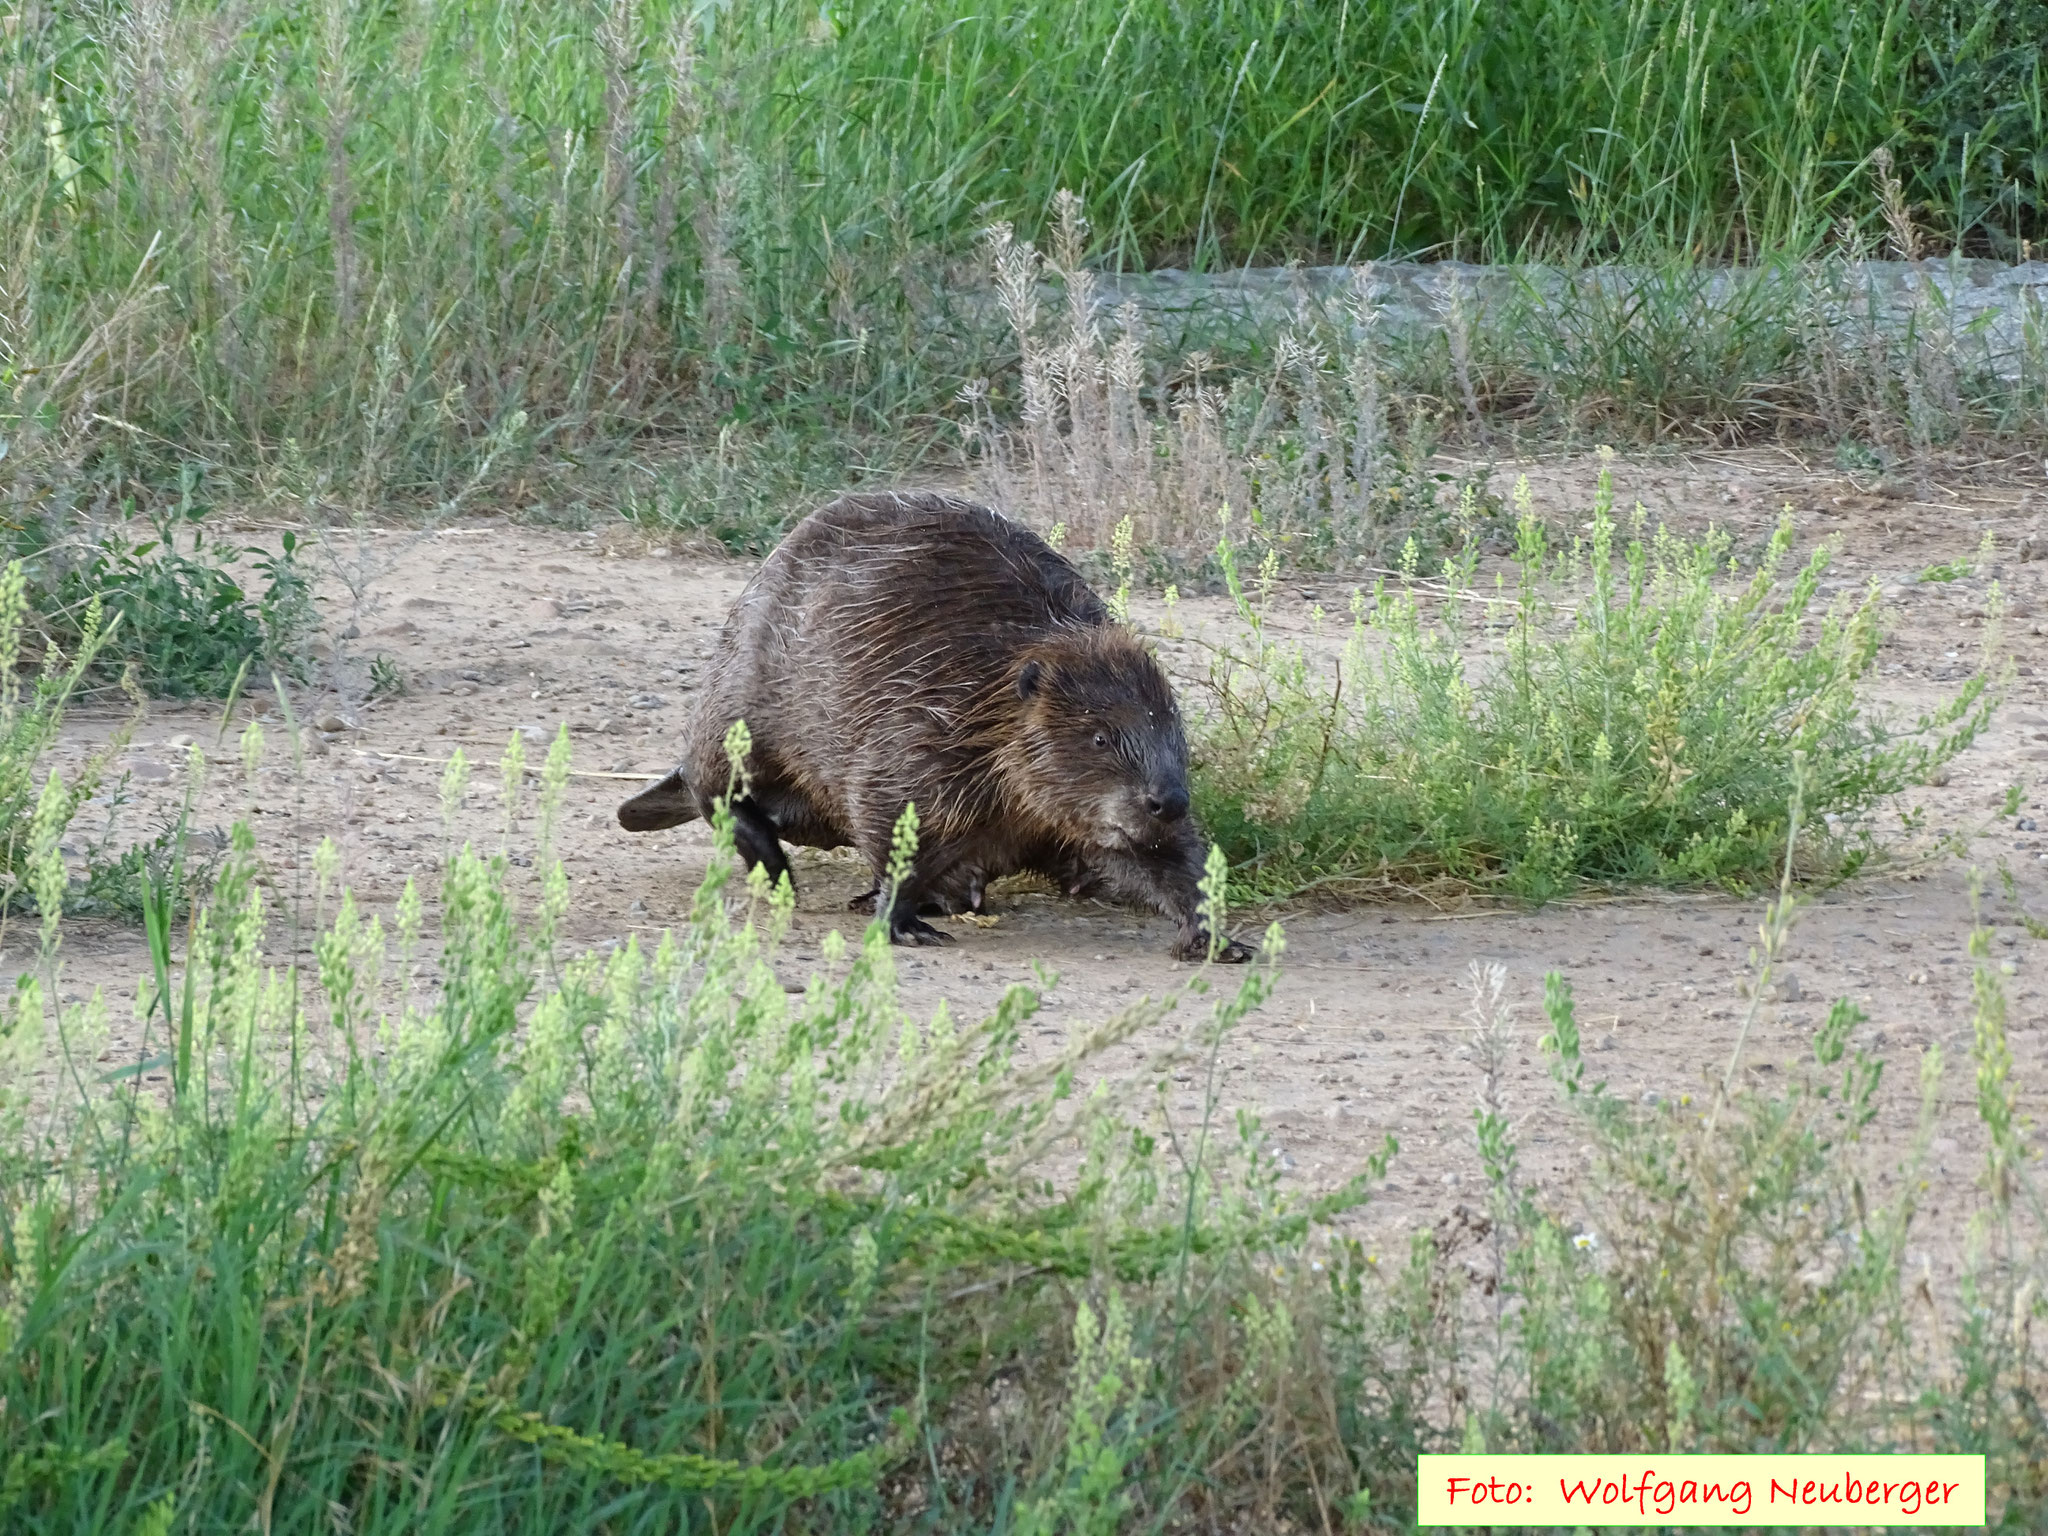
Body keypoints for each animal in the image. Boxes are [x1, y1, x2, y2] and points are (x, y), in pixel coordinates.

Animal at [610, 493, 1245, 962]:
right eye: (1100, 736)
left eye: (1174, 732)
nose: (1168, 800)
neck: (991, 696)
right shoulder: (919, 735)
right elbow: (890, 820)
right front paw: (902, 922)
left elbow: (1165, 859)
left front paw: (1217, 937)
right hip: (737, 697)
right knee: (717, 790)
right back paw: (782, 873)